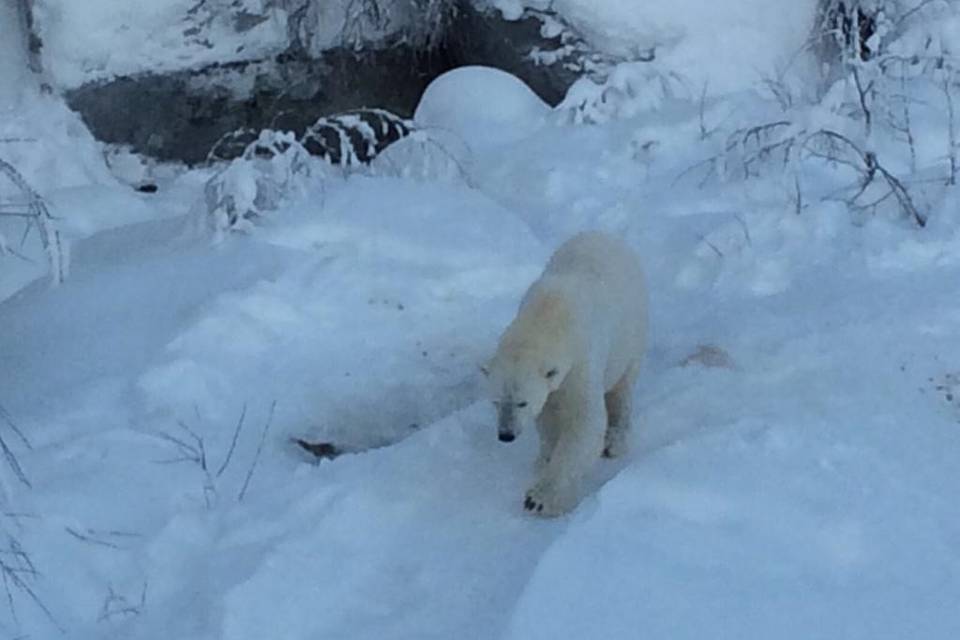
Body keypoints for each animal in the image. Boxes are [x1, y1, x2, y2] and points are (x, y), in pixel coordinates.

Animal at [484, 232, 648, 516]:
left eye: (522, 402)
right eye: (495, 401)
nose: (505, 435)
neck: (550, 314)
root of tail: (607, 236)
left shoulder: (581, 362)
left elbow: (585, 423)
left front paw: (540, 498)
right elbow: (548, 417)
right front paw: (544, 458)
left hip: (632, 332)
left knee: (623, 388)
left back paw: (615, 440)